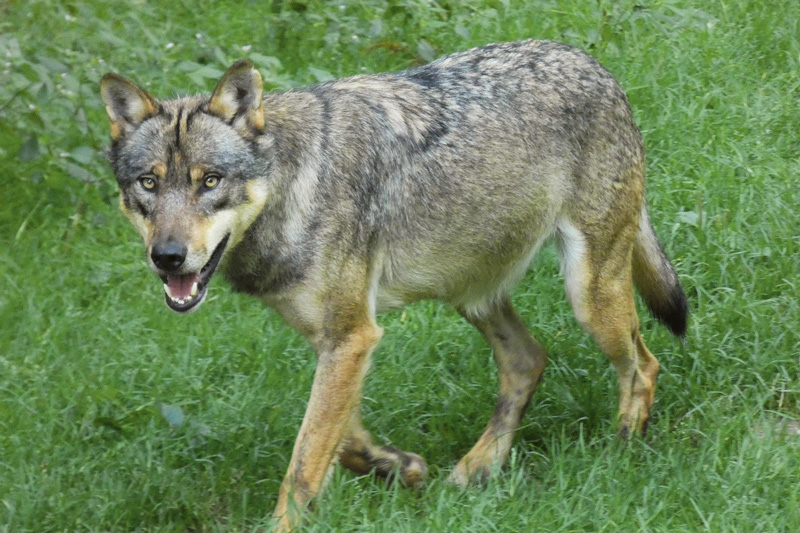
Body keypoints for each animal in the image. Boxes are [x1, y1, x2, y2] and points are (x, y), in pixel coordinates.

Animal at [100, 39, 688, 528]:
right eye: (148, 184)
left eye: (210, 182)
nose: (168, 258)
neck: (293, 184)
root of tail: (593, 64)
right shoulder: (340, 340)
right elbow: (343, 441)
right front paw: (402, 467)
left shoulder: (352, 337)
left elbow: (304, 464)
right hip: (472, 295)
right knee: (529, 361)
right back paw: (476, 469)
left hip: (588, 297)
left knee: (643, 365)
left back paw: (620, 454)